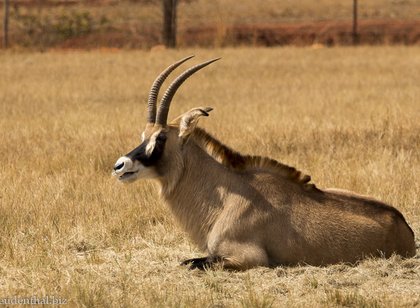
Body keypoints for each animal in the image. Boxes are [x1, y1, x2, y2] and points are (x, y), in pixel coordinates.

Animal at [112, 56, 416, 270]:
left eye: (161, 137)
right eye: (143, 135)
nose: (120, 166)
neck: (226, 195)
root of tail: (403, 226)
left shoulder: (248, 258)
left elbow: (192, 264)